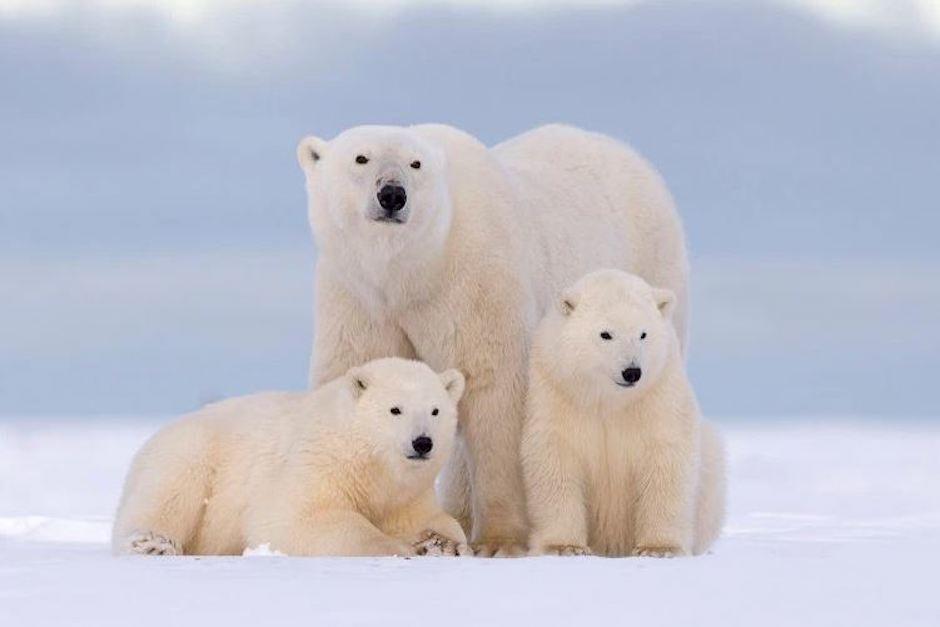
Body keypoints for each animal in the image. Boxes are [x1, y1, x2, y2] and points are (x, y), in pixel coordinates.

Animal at [112, 358, 470, 557]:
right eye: (395, 409)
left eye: (435, 410)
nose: (422, 442)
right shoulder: (319, 462)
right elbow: (298, 518)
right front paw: (401, 548)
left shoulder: (406, 494)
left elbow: (432, 520)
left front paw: (444, 544)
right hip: (190, 451)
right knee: (169, 492)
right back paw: (152, 543)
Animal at [296, 123, 689, 556]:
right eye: (361, 158)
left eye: (416, 164)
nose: (393, 195)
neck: (415, 272)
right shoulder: (358, 294)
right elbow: (355, 369)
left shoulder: (477, 278)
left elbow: (496, 391)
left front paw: (499, 541)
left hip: (651, 267)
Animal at [521, 269, 725, 557]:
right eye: (605, 334)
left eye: (643, 334)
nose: (632, 372)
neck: (609, 401)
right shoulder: (557, 392)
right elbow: (555, 458)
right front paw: (563, 546)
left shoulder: (658, 395)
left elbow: (666, 458)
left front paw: (659, 548)